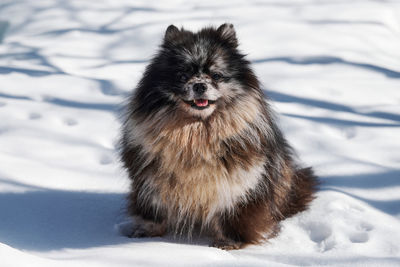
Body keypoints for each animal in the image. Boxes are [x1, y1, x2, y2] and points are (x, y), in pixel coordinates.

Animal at [120, 23, 318, 251]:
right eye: (182, 76)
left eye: (216, 75)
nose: (199, 85)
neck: (195, 133)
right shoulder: (149, 182)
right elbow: (153, 211)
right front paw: (146, 232)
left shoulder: (241, 184)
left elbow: (235, 215)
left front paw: (230, 242)